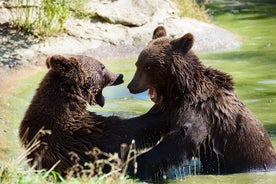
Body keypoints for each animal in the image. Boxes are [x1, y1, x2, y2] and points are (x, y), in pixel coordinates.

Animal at [128, 25, 276, 181]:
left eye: (148, 67)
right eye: (138, 64)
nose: (131, 86)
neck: (180, 89)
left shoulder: (199, 109)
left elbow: (183, 137)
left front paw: (136, 167)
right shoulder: (170, 108)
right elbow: (146, 124)